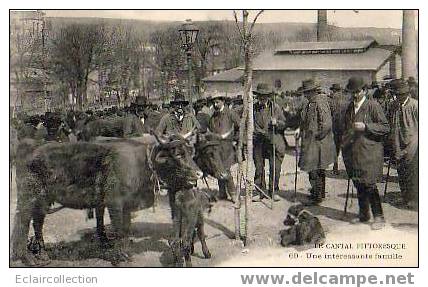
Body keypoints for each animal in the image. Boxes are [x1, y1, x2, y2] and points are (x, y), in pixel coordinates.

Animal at [10, 135, 204, 268]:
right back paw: (27, 258)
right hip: (28, 198)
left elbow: (126, 230)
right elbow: (119, 230)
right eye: (178, 154)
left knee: (37, 223)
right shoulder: (115, 204)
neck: (143, 163)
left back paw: (42, 255)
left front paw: (125, 252)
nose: (199, 174)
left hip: (43, 201)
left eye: (190, 152)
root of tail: (30, 145)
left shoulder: (127, 206)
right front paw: (120, 257)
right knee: (22, 223)